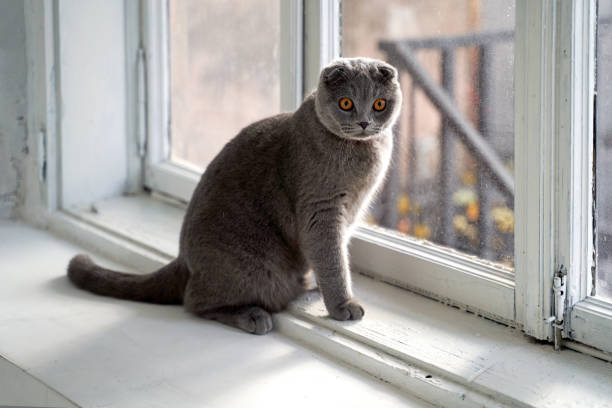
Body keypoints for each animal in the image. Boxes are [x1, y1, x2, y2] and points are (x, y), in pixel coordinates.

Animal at [67, 57, 402, 334]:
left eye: (379, 104)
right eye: (346, 103)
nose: (364, 122)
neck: (363, 154)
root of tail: (183, 259)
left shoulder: (347, 214)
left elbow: (332, 255)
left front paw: (327, 289)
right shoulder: (322, 209)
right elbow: (332, 258)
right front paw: (343, 306)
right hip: (256, 269)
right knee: (194, 300)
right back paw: (253, 316)